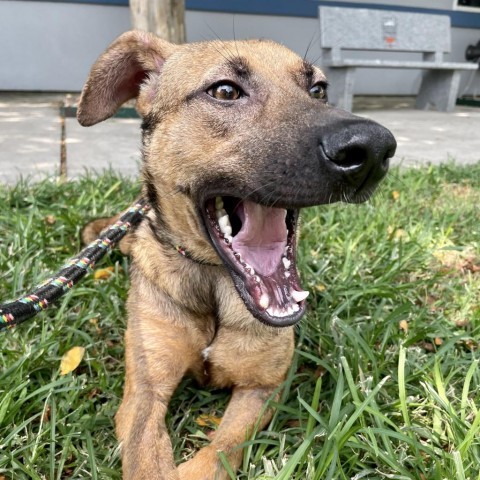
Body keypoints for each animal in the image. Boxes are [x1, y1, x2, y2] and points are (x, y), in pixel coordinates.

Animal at [78, 31, 394, 478]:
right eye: (225, 91)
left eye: (318, 89)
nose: (372, 149)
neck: (215, 284)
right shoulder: (144, 392)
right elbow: (146, 454)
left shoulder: (262, 387)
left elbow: (221, 448)